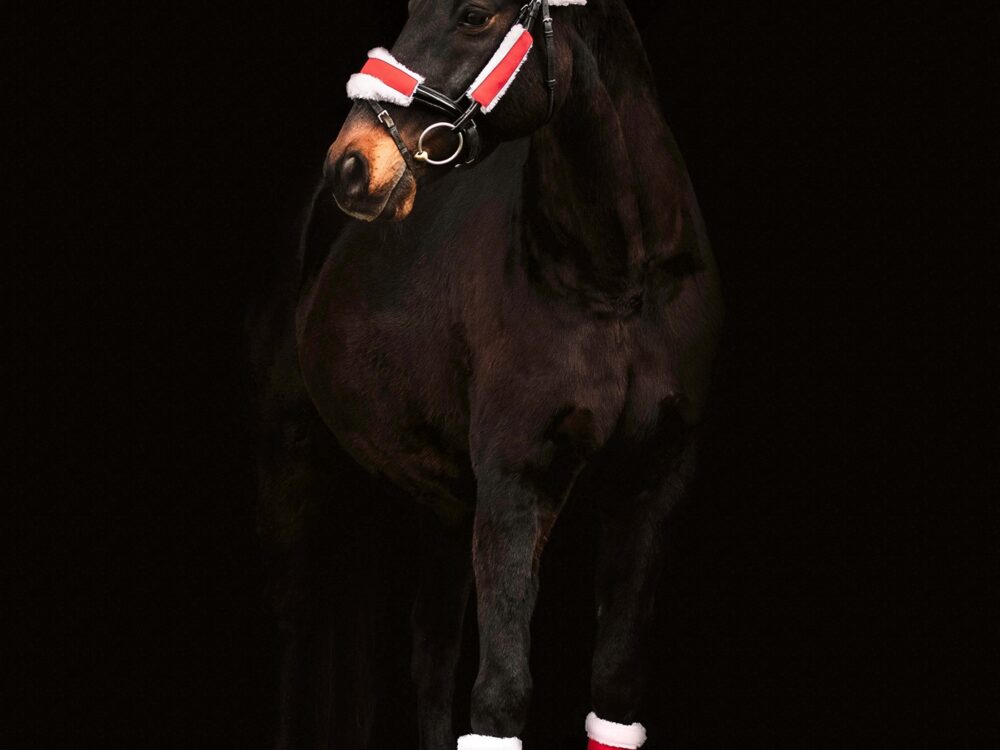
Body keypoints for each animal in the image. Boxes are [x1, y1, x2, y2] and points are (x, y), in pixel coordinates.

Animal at [248, 1, 722, 748]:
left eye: (473, 15)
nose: (351, 165)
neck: (620, 280)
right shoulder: (515, 482)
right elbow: (500, 696)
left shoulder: (654, 483)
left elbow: (614, 693)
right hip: (293, 466)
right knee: (299, 632)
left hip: (443, 505)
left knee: (431, 655)